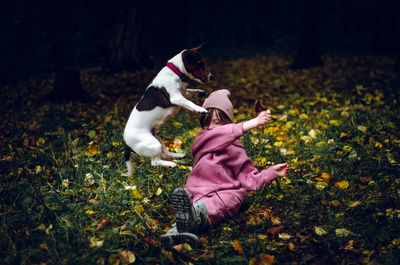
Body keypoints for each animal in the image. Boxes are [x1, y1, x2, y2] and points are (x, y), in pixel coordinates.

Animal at [123, 45, 212, 176]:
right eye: (200, 63)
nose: (211, 76)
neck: (175, 72)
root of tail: (126, 143)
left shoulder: (183, 93)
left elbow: (190, 92)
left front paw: (199, 92)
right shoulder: (176, 97)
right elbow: (190, 103)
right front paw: (200, 109)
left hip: (157, 139)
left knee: (164, 152)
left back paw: (177, 155)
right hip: (152, 143)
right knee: (155, 162)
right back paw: (172, 164)